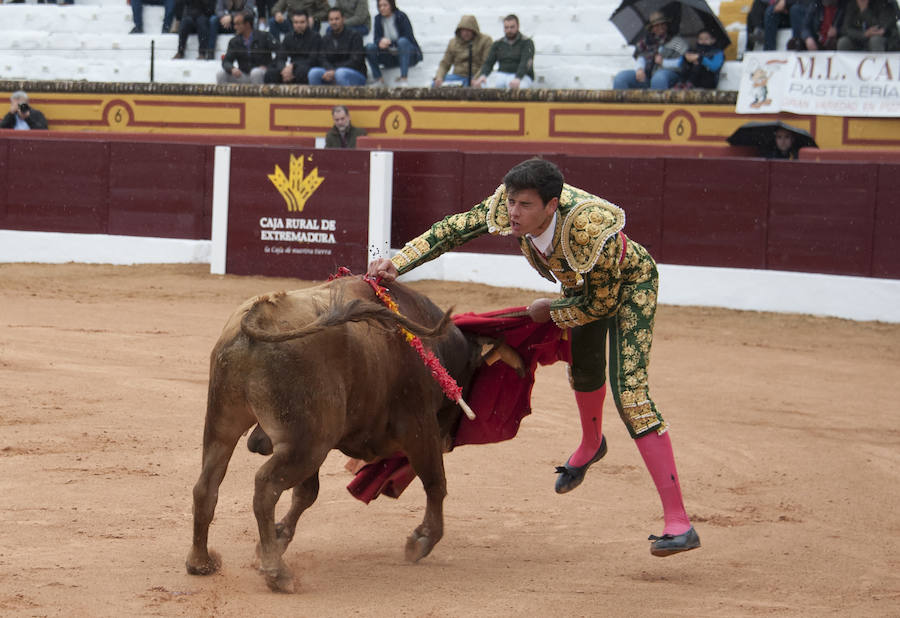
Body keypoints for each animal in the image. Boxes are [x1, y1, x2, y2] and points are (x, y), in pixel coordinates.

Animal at [181, 276, 478, 588]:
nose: (449, 439)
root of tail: (261, 315)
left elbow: (306, 494)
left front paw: (276, 537)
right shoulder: (420, 426)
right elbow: (435, 481)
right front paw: (422, 540)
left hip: (225, 425)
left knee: (206, 486)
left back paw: (201, 562)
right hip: (307, 445)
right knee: (265, 486)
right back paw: (277, 573)